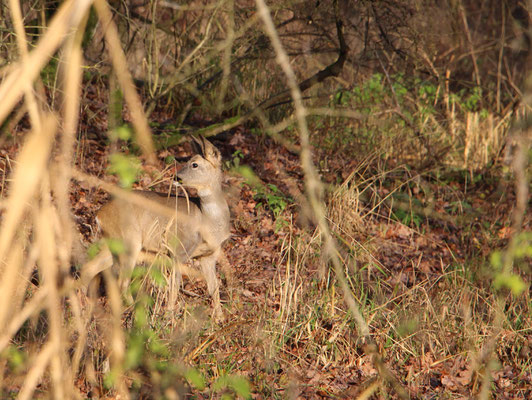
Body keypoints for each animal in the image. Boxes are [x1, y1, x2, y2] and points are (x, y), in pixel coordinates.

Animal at [93, 136, 229, 318]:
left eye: (194, 164)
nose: (176, 177)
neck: (208, 221)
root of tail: (99, 215)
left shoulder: (209, 256)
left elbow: (214, 288)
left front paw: (220, 319)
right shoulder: (179, 250)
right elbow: (174, 285)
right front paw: (169, 316)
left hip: (112, 243)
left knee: (90, 267)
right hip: (129, 240)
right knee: (122, 281)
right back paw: (135, 311)